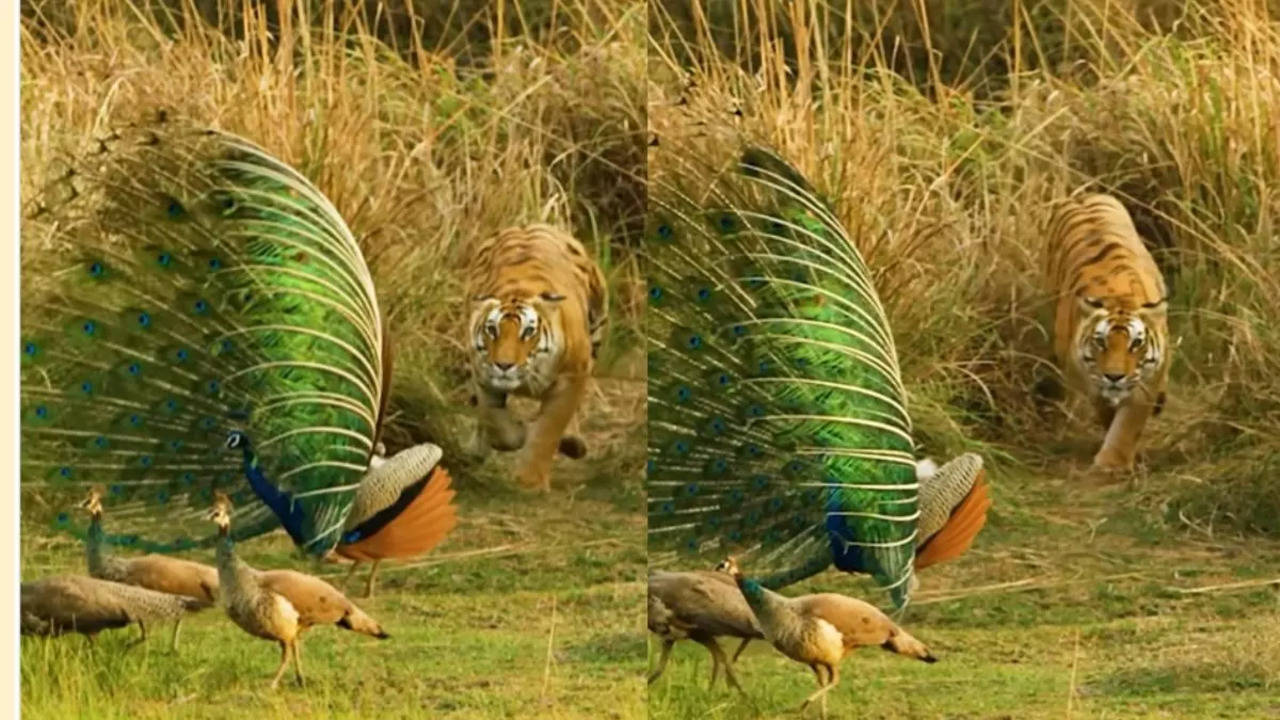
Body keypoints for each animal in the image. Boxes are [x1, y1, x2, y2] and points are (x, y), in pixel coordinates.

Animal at [465, 222, 609, 486]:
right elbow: (494, 422)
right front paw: (519, 433)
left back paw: (571, 443)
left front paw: (530, 482)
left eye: (528, 332)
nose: (504, 365)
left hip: (597, 331)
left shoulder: (571, 376)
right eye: (492, 330)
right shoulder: (483, 376)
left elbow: (548, 430)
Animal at [1049, 192, 1172, 471]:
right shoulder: (1088, 377)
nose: (1114, 376)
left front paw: (1112, 462)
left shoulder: (1147, 379)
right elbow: (1106, 410)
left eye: (1136, 344)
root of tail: (1081, 196)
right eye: (1101, 343)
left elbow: (1128, 423)